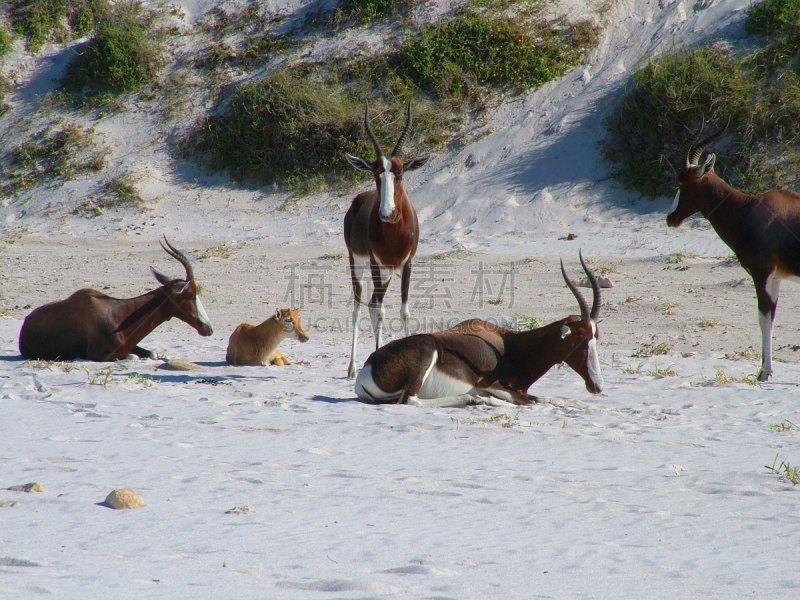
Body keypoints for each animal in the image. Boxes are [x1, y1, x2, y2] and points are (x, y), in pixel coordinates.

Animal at [18, 238, 212, 360]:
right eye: (191, 294)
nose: (208, 328)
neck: (117, 313)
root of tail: (26, 322)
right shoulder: (97, 355)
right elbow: (133, 357)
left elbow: (152, 354)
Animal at [346, 101, 432, 378]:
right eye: (375, 173)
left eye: (400, 172)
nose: (386, 213)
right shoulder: (374, 263)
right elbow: (382, 312)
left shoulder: (407, 264)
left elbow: (404, 311)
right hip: (359, 265)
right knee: (360, 308)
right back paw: (352, 367)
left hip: (386, 273)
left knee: (372, 303)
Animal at [354, 253, 604, 408]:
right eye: (580, 338)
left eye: (596, 336)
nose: (598, 386)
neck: (511, 346)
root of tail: (367, 369)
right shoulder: (489, 384)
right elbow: (527, 401)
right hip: (426, 352)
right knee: (411, 400)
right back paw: (472, 399)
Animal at [664, 120, 800, 382]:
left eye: (681, 182)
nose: (670, 218)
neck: (748, 210)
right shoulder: (776, 277)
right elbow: (771, 318)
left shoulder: (761, 273)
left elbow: (764, 319)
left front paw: (764, 372)